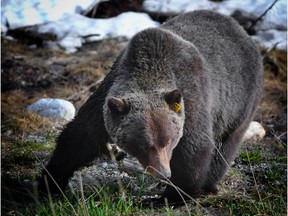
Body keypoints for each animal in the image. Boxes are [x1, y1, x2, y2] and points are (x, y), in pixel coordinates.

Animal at [38, 9, 264, 202]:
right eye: (145, 144)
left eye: (169, 141)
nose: (163, 173)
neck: (150, 71)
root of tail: (241, 31)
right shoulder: (108, 98)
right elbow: (79, 137)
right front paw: (49, 182)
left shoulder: (192, 98)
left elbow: (195, 147)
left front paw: (173, 195)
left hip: (241, 100)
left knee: (224, 146)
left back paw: (208, 184)